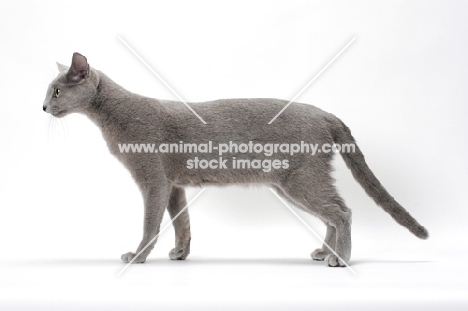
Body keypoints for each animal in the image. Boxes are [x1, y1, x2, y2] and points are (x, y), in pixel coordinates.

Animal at [43, 53, 428, 268]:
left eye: (57, 90)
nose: (43, 106)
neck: (112, 115)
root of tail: (324, 113)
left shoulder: (153, 180)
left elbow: (150, 224)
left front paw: (137, 257)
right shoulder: (173, 185)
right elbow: (182, 222)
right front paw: (180, 253)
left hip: (300, 180)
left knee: (342, 212)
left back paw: (340, 258)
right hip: (292, 184)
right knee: (332, 215)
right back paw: (323, 251)